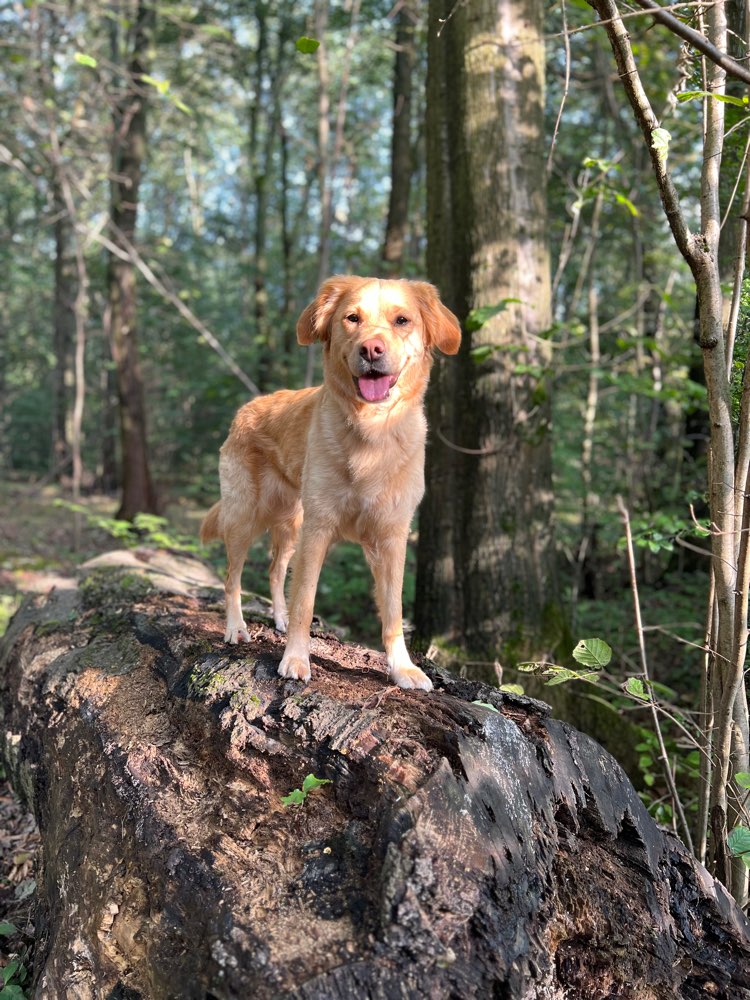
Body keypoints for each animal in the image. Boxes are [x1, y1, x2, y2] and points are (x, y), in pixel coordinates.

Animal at [200, 278, 462, 692]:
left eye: (402, 320)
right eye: (352, 318)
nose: (371, 349)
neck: (371, 428)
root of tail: (246, 408)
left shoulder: (392, 537)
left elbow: (392, 612)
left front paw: (402, 668)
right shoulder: (319, 528)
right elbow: (305, 600)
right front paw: (296, 658)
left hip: (290, 522)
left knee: (275, 569)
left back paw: (279, 617)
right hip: (245, 515)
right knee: (232, 579)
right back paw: (236, 627)